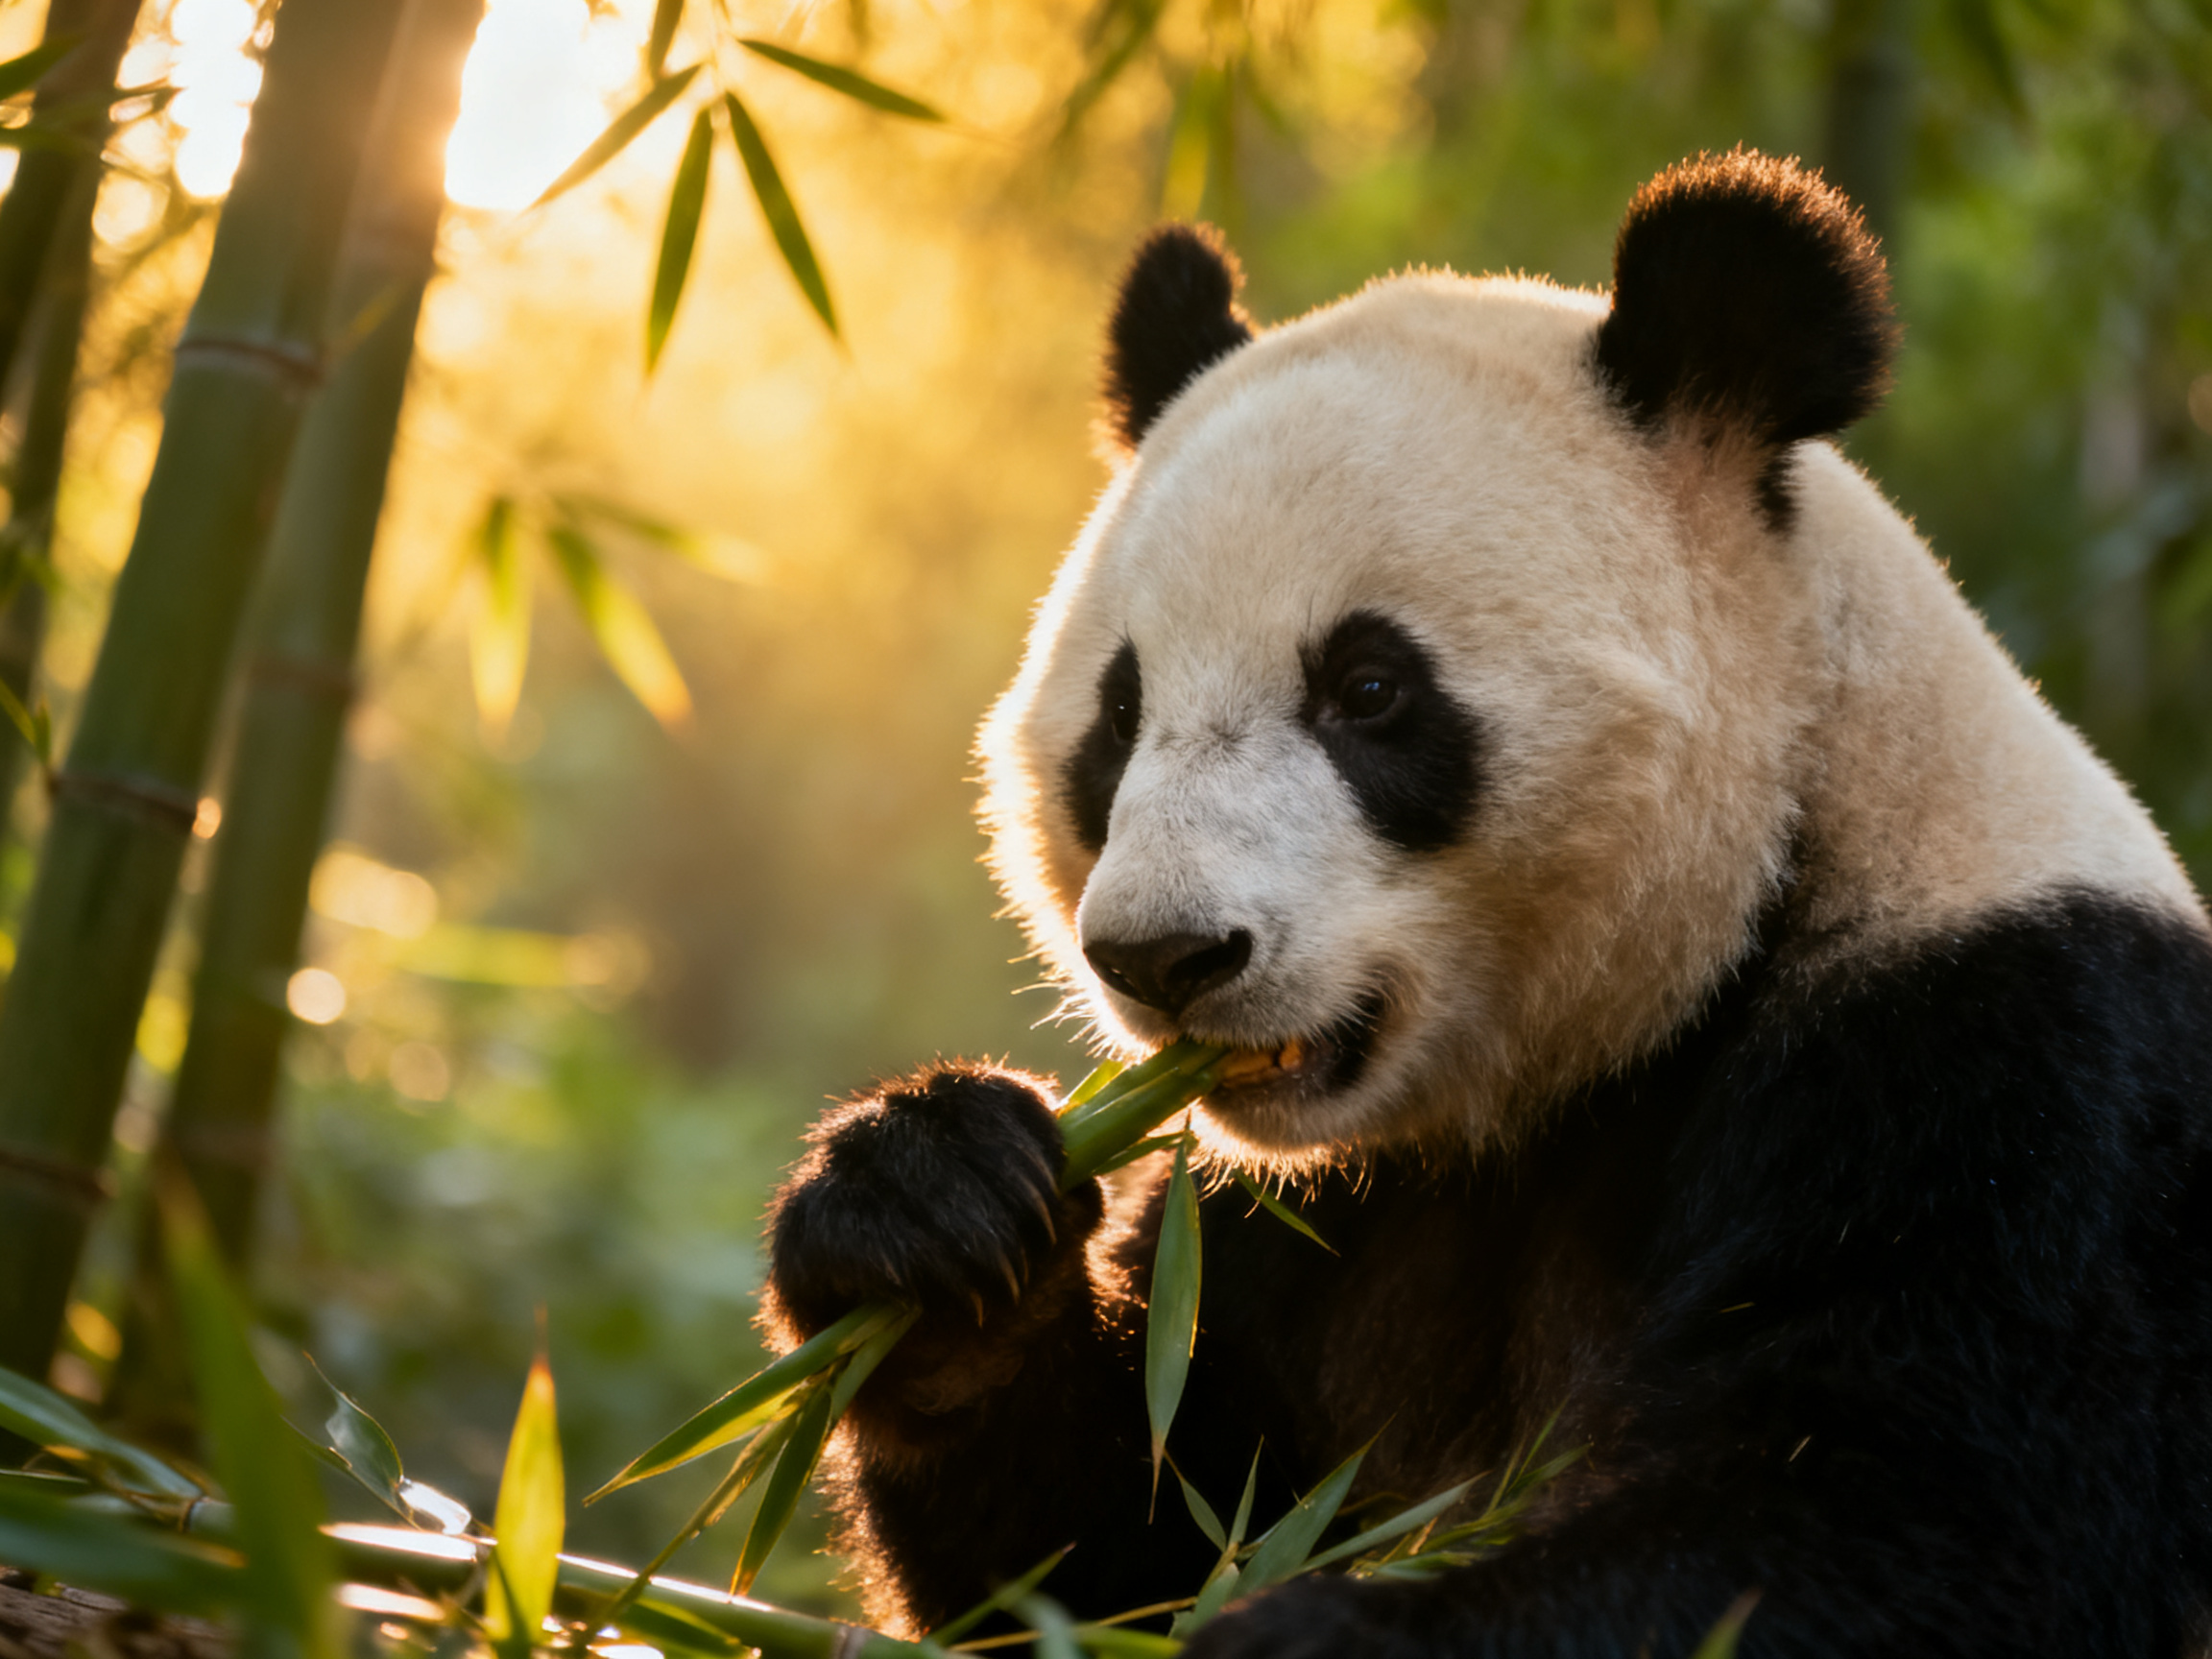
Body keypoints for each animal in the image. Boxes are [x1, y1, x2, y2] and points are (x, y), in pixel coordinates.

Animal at [764, 150, 2212, 1656]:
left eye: (1369, 690)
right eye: (1120, 717)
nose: (1165, 956)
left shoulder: (2010, 1056)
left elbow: (1923, 1519)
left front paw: (1321, 1635)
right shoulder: (1305, 1223)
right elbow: (1125, 1542)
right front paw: (925, 1221)